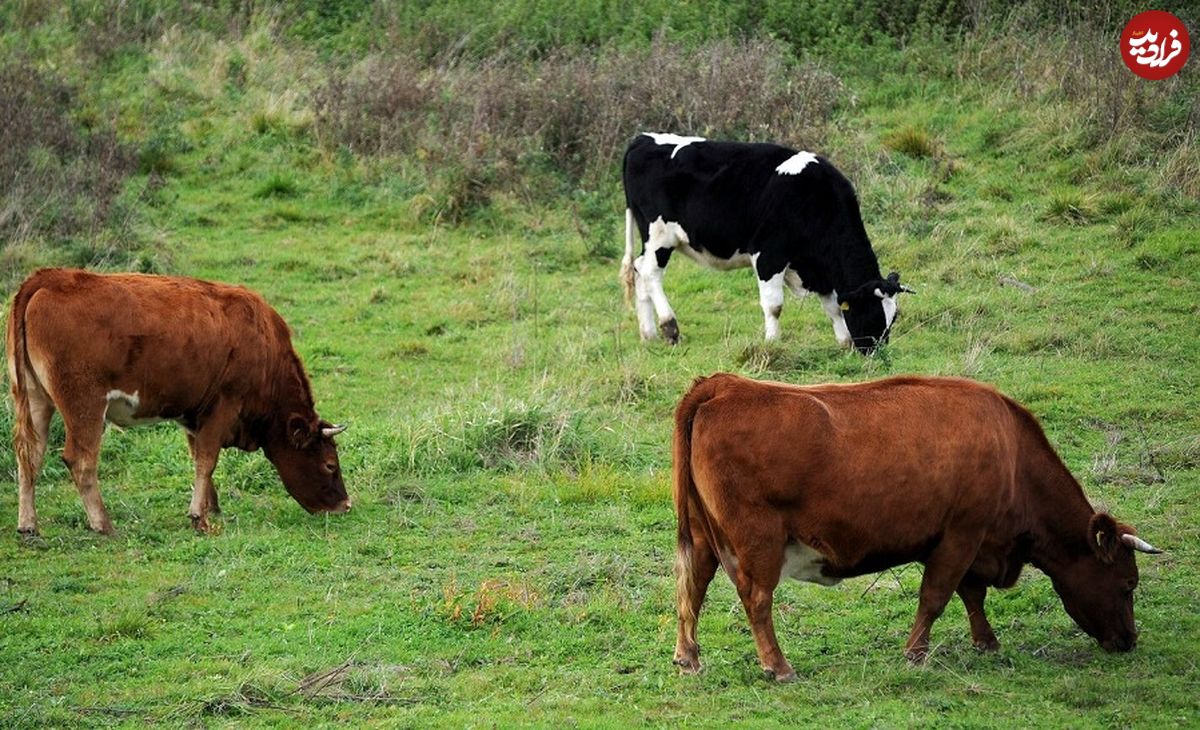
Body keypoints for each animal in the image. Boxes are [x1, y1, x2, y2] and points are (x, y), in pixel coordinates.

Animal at [5, 267, 350, 535]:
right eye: (330, 465)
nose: (345, 505)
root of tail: (49, 277)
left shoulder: (194, 414)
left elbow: (199, 459)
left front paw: (211, 506)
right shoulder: (223, 406)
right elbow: (207, 460)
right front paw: (200, 518)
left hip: (35, 398)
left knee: (29, 454)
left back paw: (28, 525)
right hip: (85, 405)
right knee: (81, 460)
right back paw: (103, 524)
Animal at [619, 136, 907, 355]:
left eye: (893, 318)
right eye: (872, 313)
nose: (876, 353)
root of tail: (642, 139)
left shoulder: (820, 269)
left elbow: (834, 306)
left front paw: (843, 341)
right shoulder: (770, 255)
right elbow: (774, 305)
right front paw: (771, 342)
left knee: (638, 269)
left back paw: (648, 334)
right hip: (659, 235)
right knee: (650, 273)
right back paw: (670, 328)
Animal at [672, 374, 1156, 681]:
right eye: (1128, 583)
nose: (1130, 640)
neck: (1012, 451)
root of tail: (722, 385)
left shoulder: (966, 542)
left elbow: (970, 595)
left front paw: (986, 642)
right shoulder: (963, 534)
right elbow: (937, 597)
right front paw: (916, 653)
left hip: (701, 537)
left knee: (691, 588)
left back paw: (689, 658)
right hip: (759, 541)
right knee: (757, 600)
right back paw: (779, 667)